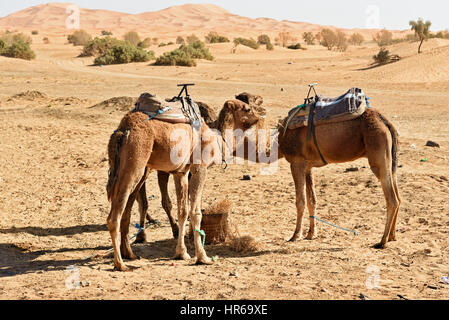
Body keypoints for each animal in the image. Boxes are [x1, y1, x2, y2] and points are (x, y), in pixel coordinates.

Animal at [107, 97, 262, 270]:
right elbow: (195, 212)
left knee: (125, 208)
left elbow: (183, 211)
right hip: (136, 160)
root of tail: (123, 130)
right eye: (247, 108)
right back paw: (120, 264)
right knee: (115, 216)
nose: (259, 117)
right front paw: (202, 257)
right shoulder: (200, 168)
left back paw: (130, 254)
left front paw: (181, 253)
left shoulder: (180, 172)